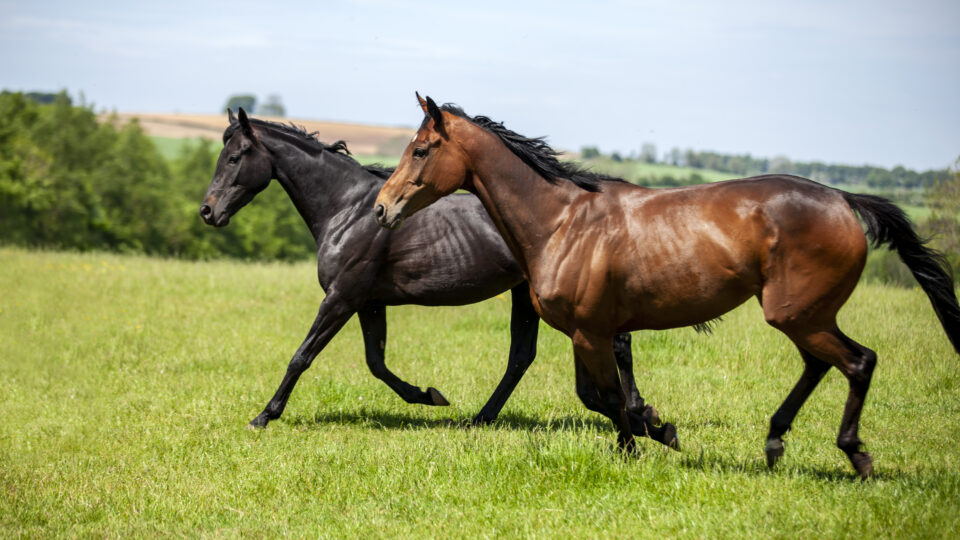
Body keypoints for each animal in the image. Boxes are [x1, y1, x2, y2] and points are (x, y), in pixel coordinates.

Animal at [199, 108, 672, 448]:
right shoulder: (368, 303)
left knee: (614, 345)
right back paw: (483, 418)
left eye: (235, 157)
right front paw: (429, 395)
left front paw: (263, 416)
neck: (348, 209)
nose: (207, 211)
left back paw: (639, 414)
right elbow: (376, 363)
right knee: (523, 356)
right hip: (526, 295)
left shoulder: (341, 297)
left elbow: (302, 356)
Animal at [374, 94, 960, 476]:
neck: (562, 222)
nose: (382, 208)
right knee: (821, 365)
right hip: (803, 316)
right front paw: (652, 431)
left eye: (421, 150)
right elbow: (597, 396)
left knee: (858, 362)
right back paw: (774, 444)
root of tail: (844, 199)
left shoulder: (590, 331)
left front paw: (644, 440)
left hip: (798, 313)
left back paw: (855, 454)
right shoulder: (586, 332)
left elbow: (606, 396)